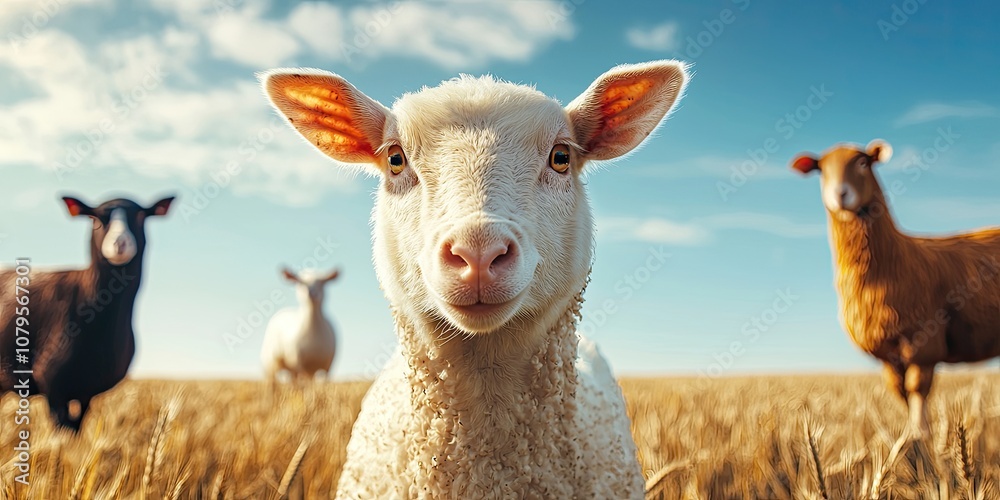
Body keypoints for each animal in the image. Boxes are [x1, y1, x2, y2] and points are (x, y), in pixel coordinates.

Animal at [0, 195, 174, 432]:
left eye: (140, 216)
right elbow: (62, 430)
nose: (119, 243)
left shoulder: (88, 391)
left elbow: (76, 429)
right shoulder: (52, 384)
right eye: (94, 218)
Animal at [791, 140, 1000, 436]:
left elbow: (917, 391)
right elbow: (900, 394)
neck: (895, 260)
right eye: (821, 169)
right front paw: (908, 438)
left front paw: (920, 434)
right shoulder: (887, 353)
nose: (840, 194)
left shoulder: (924, 341)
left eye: (863, 163)